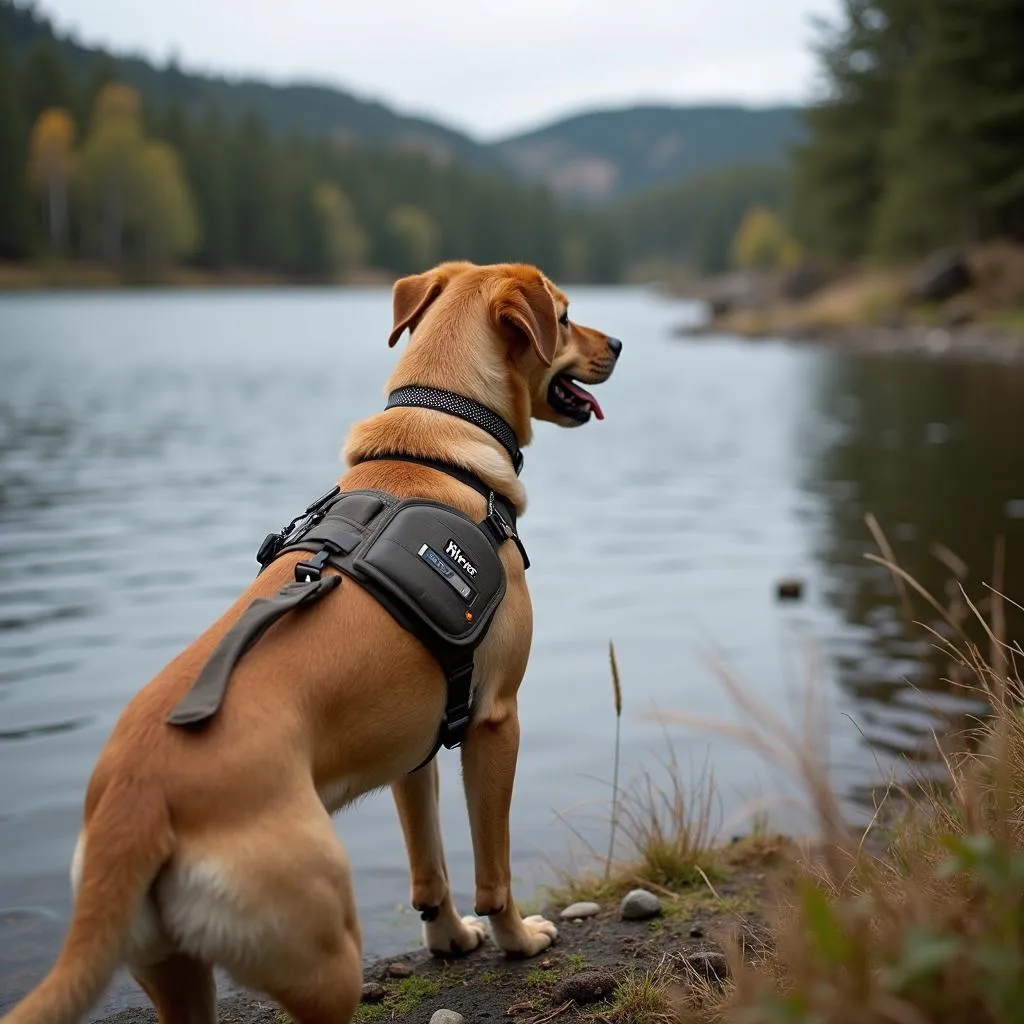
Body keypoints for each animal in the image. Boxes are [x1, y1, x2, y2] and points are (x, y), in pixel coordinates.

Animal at [4, 262, 618, 1024]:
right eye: (564, 317)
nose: (619, 343)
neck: (436, 446)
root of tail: (135, 802)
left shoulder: (415, 749)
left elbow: (430, 867)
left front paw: (448, 939)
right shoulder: (494, 720)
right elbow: (491, 869)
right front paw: (516, 938)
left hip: (175, 968)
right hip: (323, 951)